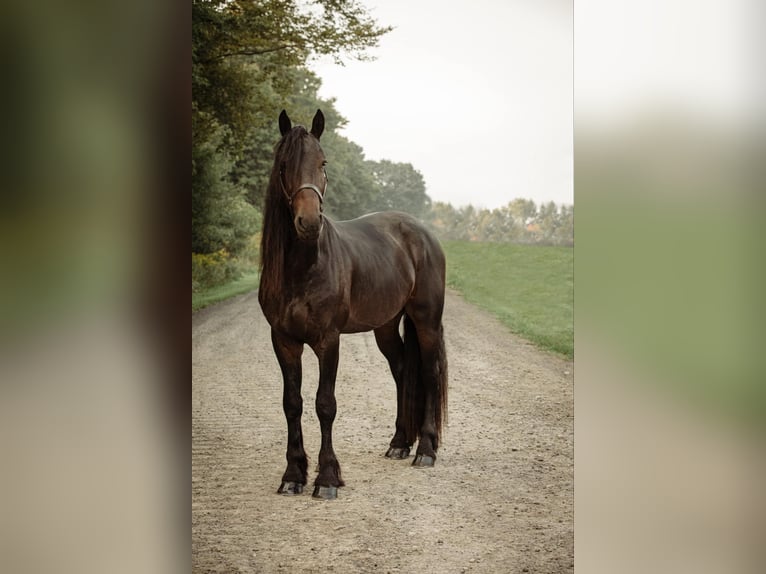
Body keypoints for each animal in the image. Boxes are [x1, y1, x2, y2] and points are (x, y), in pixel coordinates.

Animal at [258, 109, 448, 499]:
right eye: (283, 165)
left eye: (323, 162)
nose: (309, 222)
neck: (304, 267)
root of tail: (421, 232)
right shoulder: (283, 340)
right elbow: (292, 404)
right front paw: (293, 475)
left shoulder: (328, 340)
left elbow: (325, 404)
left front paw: (327, 479)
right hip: (386, 326)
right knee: (402, 370)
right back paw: (399, 444)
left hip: (426, 321)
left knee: (429, 372)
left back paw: (425, 450)